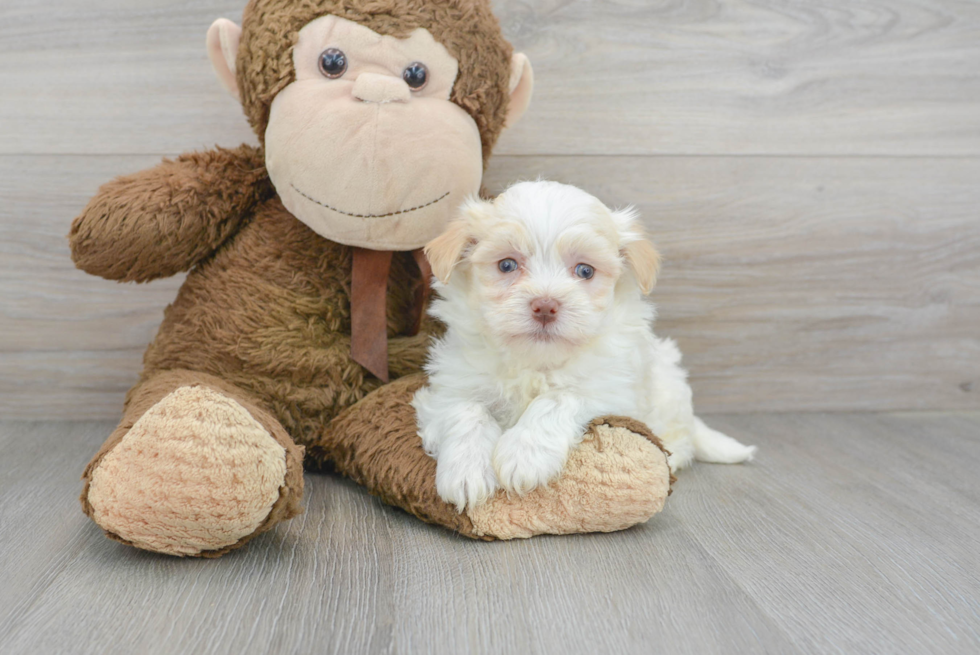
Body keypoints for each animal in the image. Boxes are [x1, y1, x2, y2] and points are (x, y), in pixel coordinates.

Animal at [410, 181, 756, 512]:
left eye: (585, 271)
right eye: (507, 265)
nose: (545, 305)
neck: (535, 362)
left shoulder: (612, 389)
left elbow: (559, 397)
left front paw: (524, 455)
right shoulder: (450, 386)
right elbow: (466, 410)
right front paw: (466, 471)